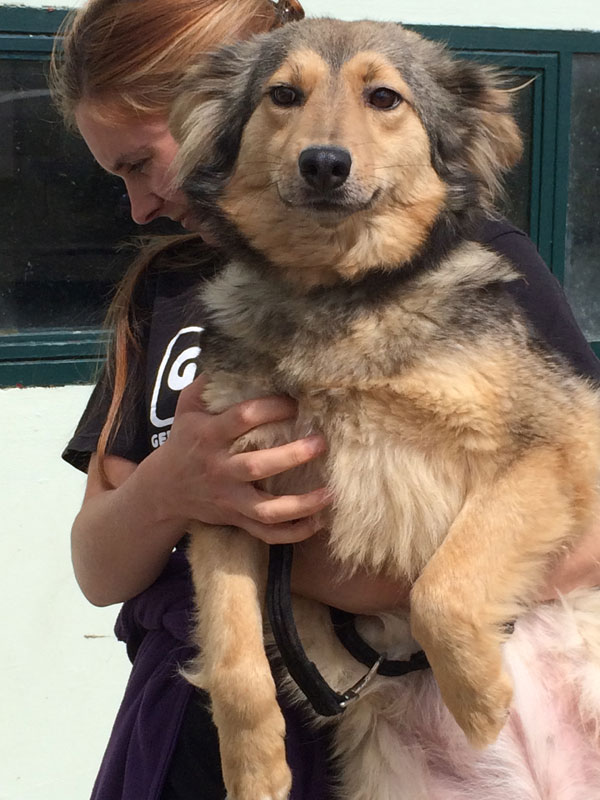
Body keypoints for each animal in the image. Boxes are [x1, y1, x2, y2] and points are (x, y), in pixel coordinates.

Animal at [166, 18, 600, 800]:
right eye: (283, 95)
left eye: (384, 98)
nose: (323, 164)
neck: (338, 296)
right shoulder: (225, 498)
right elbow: (234, 658)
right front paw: (253, 768)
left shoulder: (552, 446)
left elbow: (443, 587)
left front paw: (481, 699)